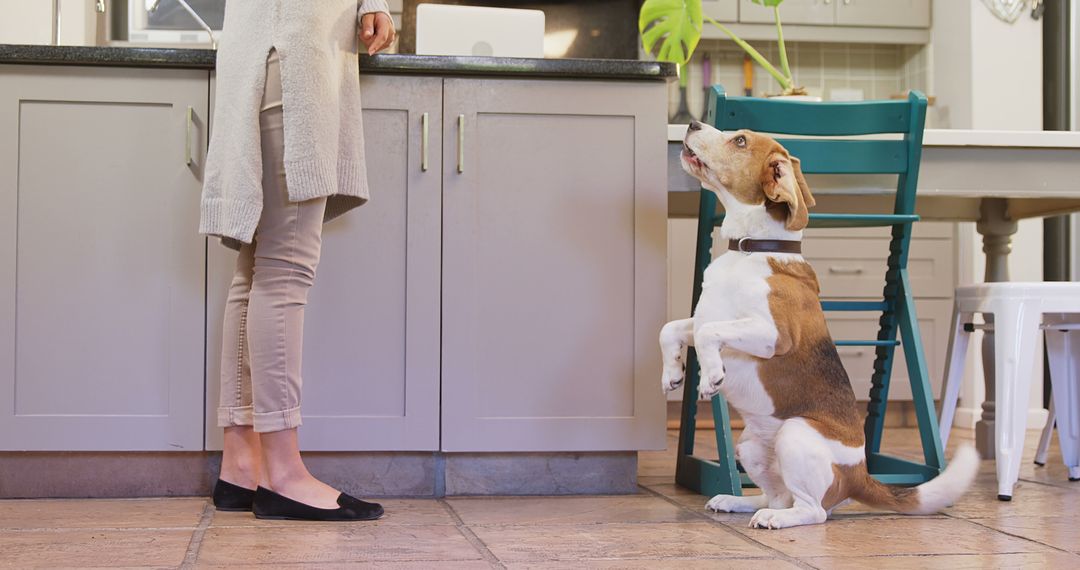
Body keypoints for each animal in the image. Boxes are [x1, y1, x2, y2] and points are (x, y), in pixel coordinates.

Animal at [656, 123, 980, 528]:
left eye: (740, 140)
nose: (692, 124)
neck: (751, 247)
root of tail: (860, 475)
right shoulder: (704, 315)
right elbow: (671, 329)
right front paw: (672, 374)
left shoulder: (774, 335)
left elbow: (707, 334)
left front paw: (709, 376)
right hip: (751, 447)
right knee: (780, 496)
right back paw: (741, 502)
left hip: (795, 433)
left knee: (813, 511)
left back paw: (775, 519)